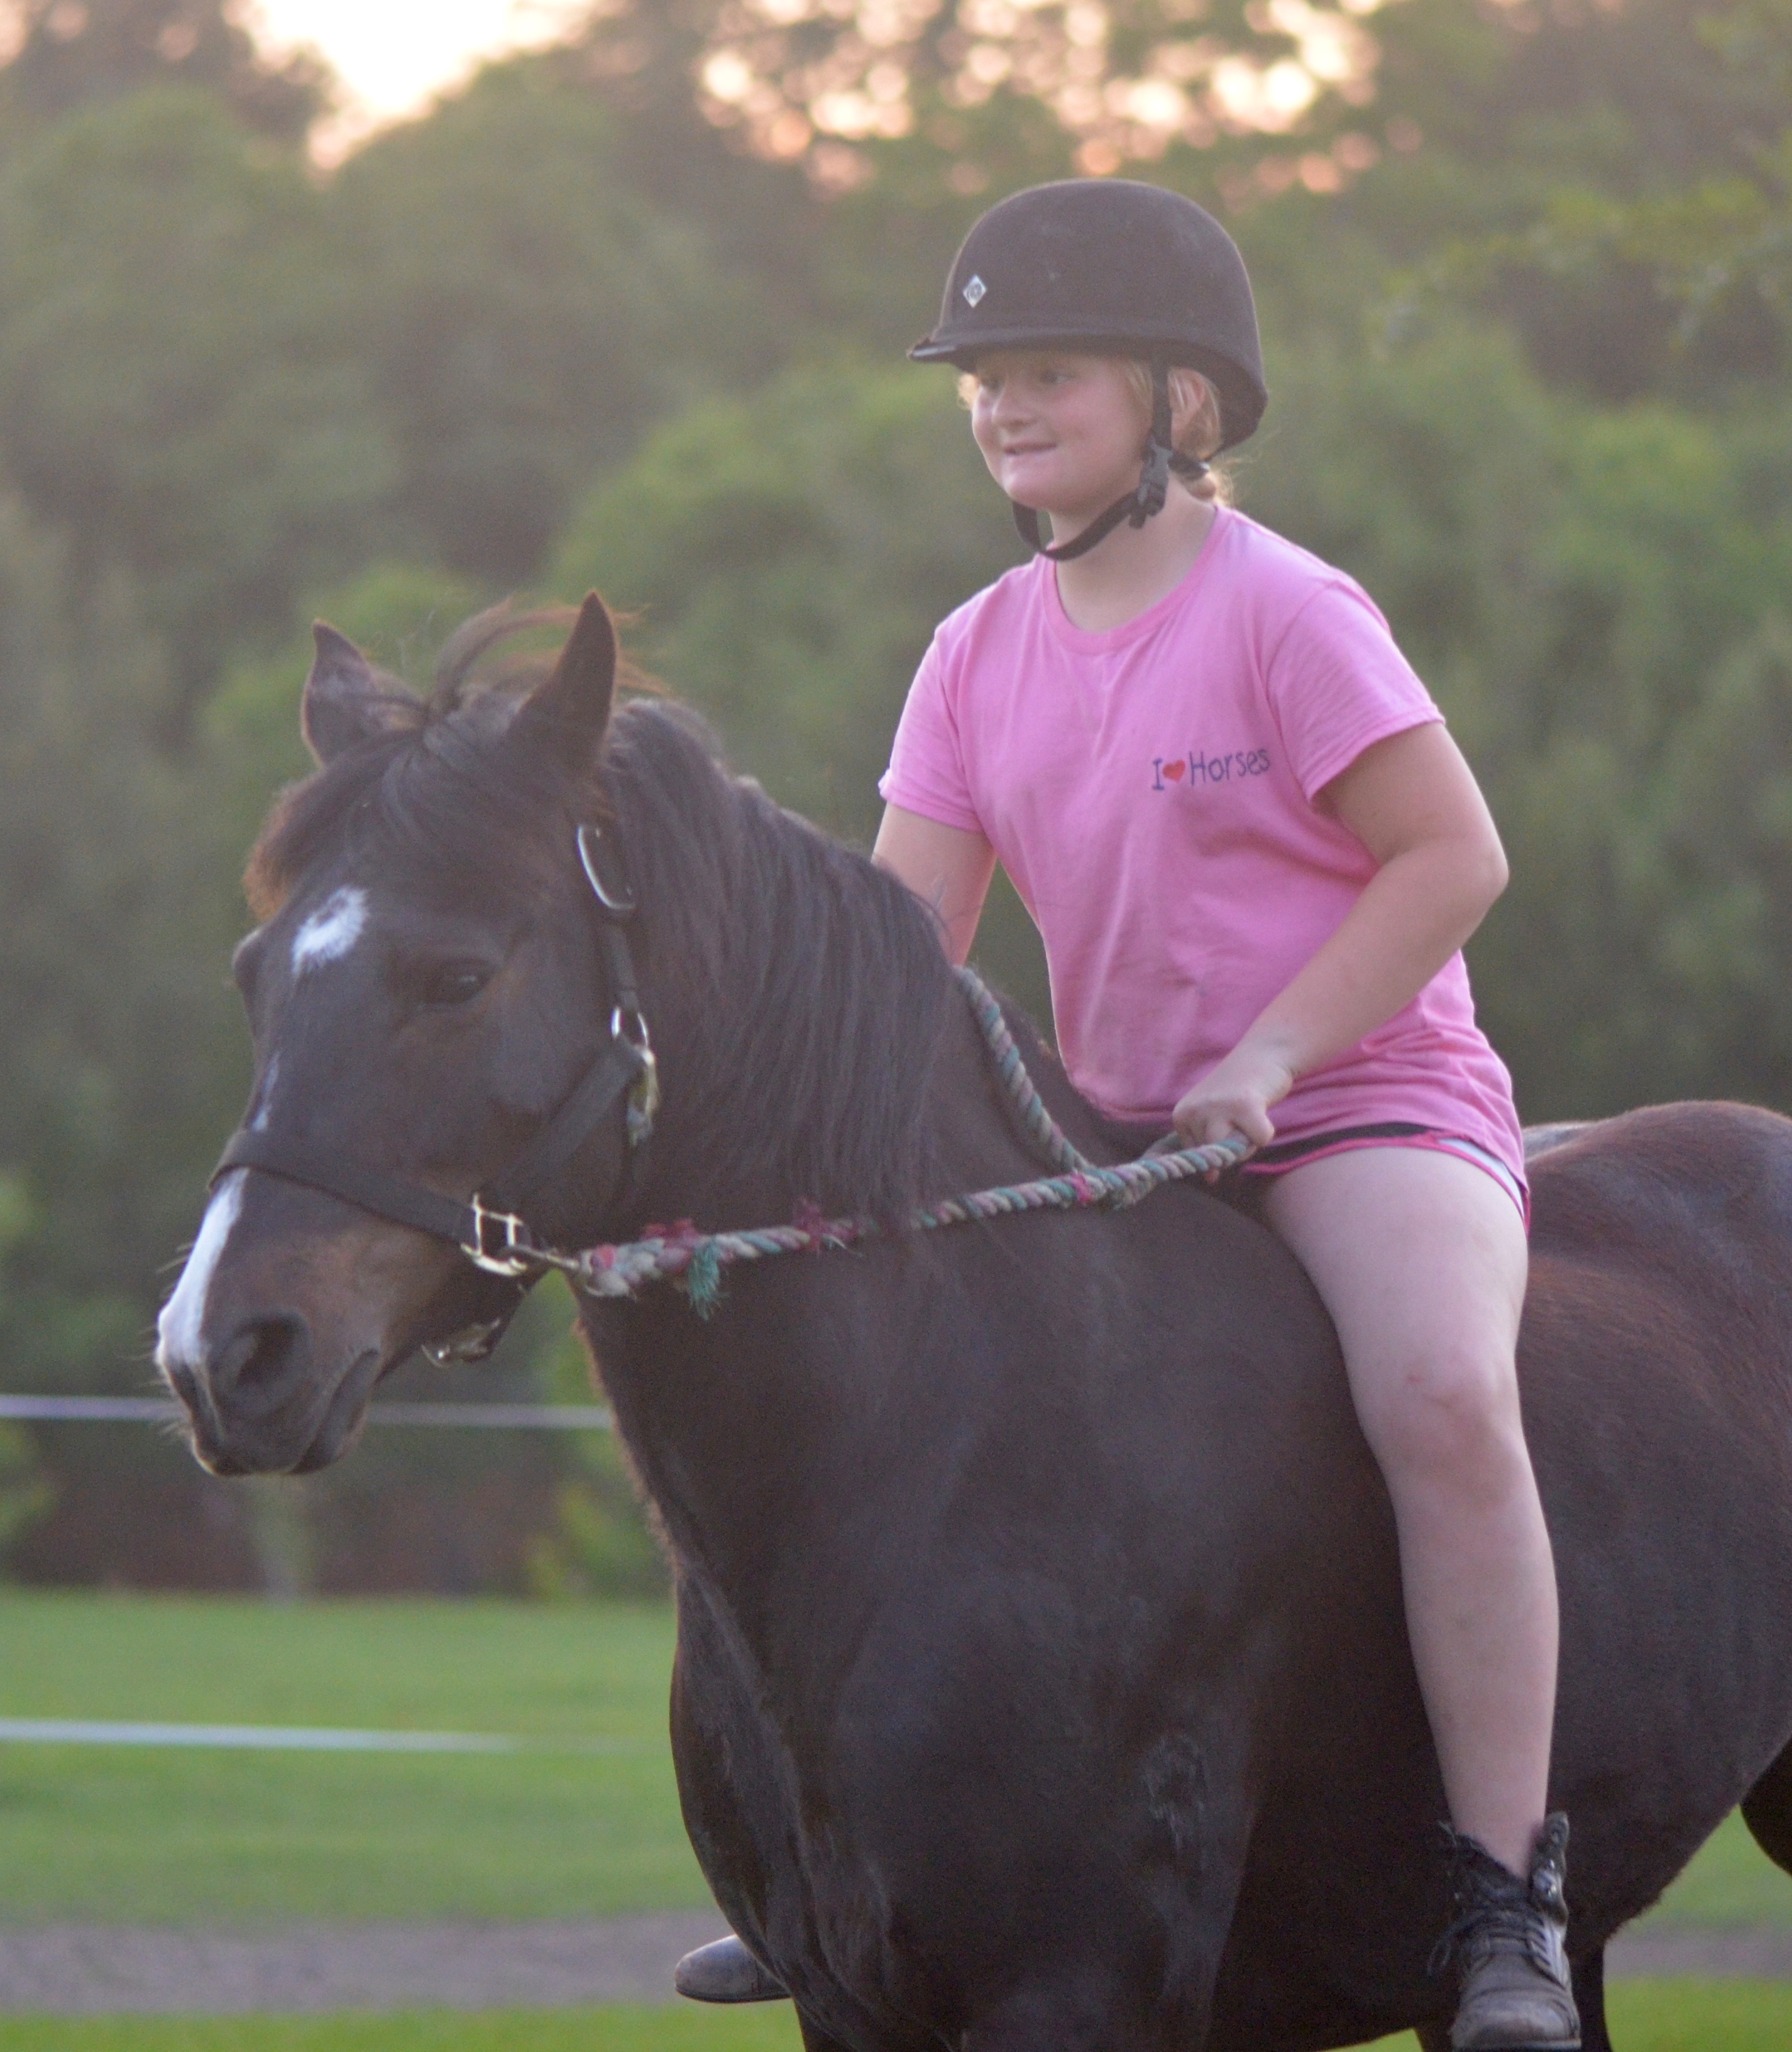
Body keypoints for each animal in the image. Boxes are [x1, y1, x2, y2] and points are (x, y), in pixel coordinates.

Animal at [156, 595, 1792, 2052]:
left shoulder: (1070, 1994)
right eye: (252, 975)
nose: (220, 1353)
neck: (950, 1439)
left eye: (458, 973)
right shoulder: (842, 2005)